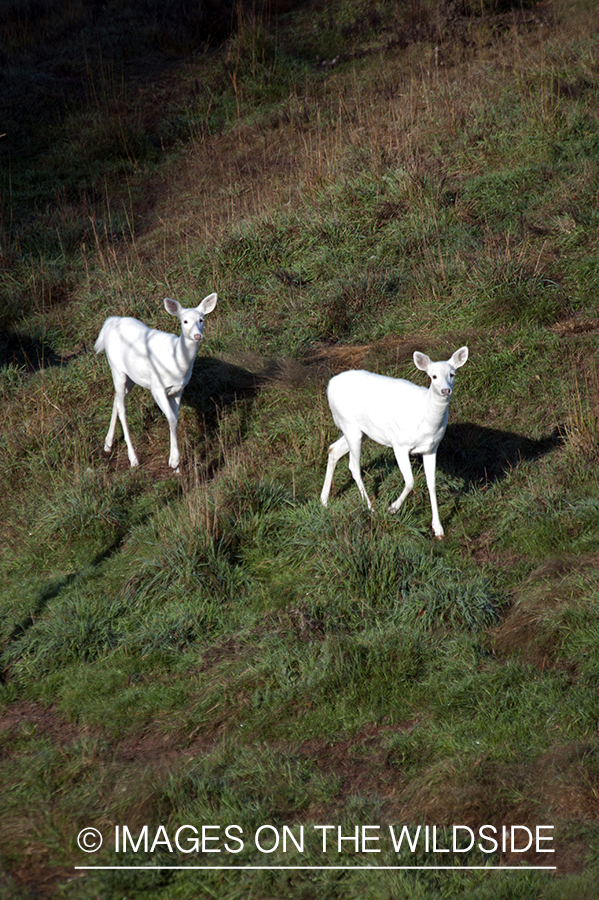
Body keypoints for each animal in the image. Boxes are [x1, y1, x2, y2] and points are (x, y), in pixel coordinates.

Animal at [92, 296, 217, 474]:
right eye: (184, 321)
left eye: (201, 319)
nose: (197, 335)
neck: (177, 362)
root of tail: (110, 322)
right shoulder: (157, 388)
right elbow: (171, 418)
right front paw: (174, 461)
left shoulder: (178, 389)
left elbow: (175, 418)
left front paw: (176, 466)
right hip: (116, 368)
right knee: (123, 409)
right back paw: (133, 459)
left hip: (132, 377)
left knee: (117, 397)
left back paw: (108, 444)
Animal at [322, 348, 472, 536]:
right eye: (433, 376)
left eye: (452, 374)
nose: (445, 390)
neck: (425, 418)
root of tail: (330, 385)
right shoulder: (399, 445)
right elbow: (410, 481)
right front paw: (392, 508)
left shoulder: (431, 448)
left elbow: (431, 483)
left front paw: (438, 528)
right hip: (350, 426)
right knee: (353, 466)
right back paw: (370, 508)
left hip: (361, 431)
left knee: (333, 449)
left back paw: (324, 500)